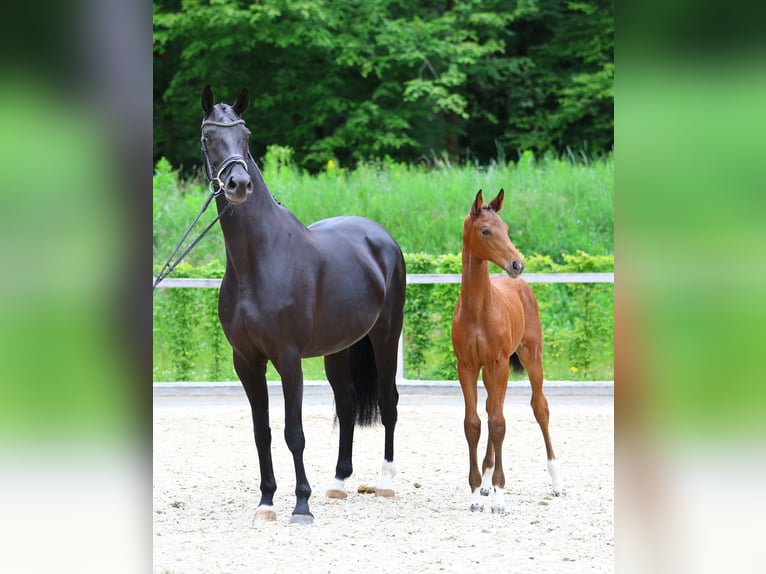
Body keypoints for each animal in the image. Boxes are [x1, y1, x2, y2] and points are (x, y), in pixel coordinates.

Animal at [202, 86, 408, 528]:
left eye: (246, 136)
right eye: (209, 137)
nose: (238, 183)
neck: (258, 259)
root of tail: (381, 238)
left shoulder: (288, 357)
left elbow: (293, 432)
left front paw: (301, 505)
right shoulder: (246, 360)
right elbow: (262, 431)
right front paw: (266, 501)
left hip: (385, 336)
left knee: (388, 402)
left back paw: (385, 482)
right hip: (339, 349)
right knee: (347, 404)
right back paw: (339, 481)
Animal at [452, 191, 560, 516]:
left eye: (507, 229)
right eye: (486, 231)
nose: (517, 264)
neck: (477, 310)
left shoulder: (499, 363)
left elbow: (499, 424)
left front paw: (500, 496)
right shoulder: (467, 366)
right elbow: (474, 424)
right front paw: (476, 493)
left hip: (531, 357)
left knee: (540, 407)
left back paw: (556, 481)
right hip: (489, 371)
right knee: (490, 408)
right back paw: (486, 481)